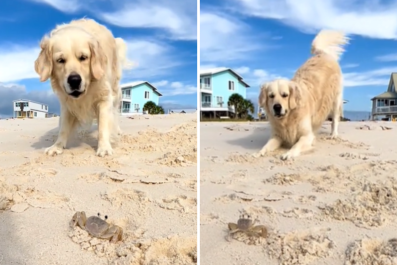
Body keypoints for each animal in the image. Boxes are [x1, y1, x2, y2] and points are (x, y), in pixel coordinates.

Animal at [34, 18, 130, 157]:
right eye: (60, 60)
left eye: (83, 58)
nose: (74, 81)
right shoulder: (66, 103)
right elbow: (63, 128)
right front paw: (57, 146)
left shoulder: (104, 98)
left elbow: (103, 125)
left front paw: (104, 147)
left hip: (116, 90)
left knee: (115, 111)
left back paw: (117, 130)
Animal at [255, 29, 348, 160]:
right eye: (271, 96)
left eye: (285, 95)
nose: (277, 107)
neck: (287, 119)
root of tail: (322, 54)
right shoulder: (277, 136)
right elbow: (267, 145)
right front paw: (260, 152)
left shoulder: (307, 136)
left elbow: (297, 145)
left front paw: (289, 153)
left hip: (335, 99)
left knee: (335, 118)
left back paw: (333, 134)